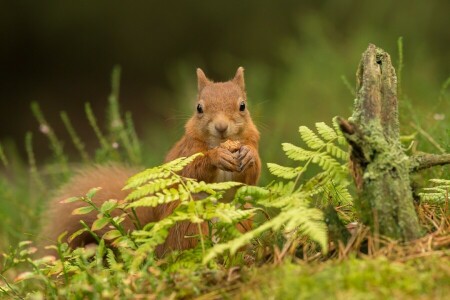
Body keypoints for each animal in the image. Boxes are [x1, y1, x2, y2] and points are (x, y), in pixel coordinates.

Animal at [41, 67, 264, 256]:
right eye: (199, 108)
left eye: (242, 106)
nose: (221, 127)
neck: (220, 142)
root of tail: (160, 248)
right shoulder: (187, 151)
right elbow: (193, 171)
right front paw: (216, 157)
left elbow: (250, 177)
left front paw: (249, 155)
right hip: (188, 223)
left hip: (240, 218)